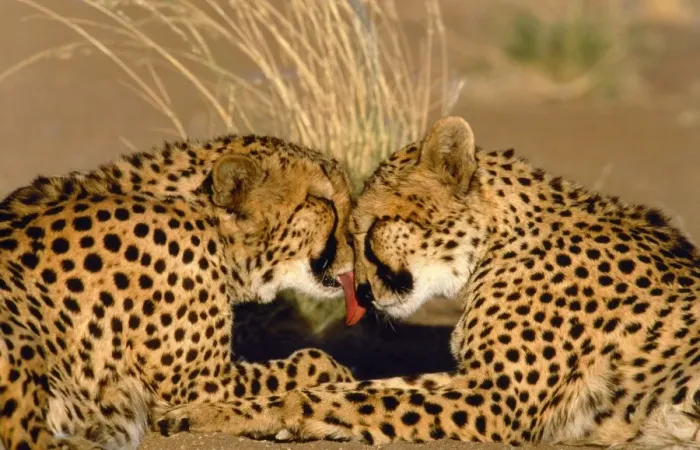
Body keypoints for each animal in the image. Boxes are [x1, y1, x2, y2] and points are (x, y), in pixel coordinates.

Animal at [159, 116, 700, 449]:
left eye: (372, 225)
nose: (362, 294)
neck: (499, 238)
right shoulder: (474, 378)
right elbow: (364, 388)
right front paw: (209, 410)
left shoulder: (496, 398)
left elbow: (351, 397)